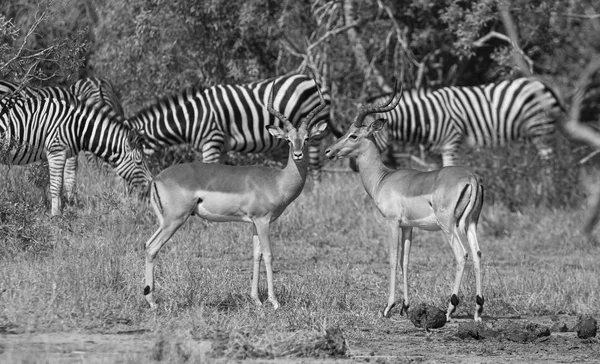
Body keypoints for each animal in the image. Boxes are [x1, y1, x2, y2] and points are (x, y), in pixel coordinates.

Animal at [0, 92, 152, 216]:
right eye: (139, 162)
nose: (150, 185)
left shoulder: (63, 154)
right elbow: (56, 186)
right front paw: (55, 216)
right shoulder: (56, 151)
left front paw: (62, 211)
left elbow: (61, 184)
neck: (77, 127)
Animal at [125, 73, 342, 183]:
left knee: (316, 166)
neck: (192, 117)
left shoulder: (212, 141)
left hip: (314, 133)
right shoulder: (220, 147)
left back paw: (314, 199)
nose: (130, 196)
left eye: (137, 161)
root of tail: (315, 80)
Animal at [364, 78, 564, 168]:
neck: (428, 115)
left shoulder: (451, 143)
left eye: (370, 132)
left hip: (540, 129)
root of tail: (543, 84)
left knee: (550, 163)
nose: (356, 167)